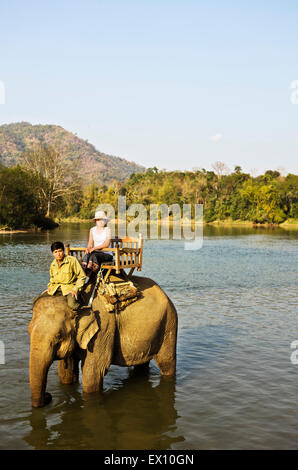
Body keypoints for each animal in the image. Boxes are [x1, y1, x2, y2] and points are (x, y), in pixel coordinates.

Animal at [28, 276, 177, 408]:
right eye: (29, 330)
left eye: (58, 336)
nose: (48, 396)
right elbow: (66, 374)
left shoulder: (103, 329)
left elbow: (93, 374)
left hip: (169, 323)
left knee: (166, 363)